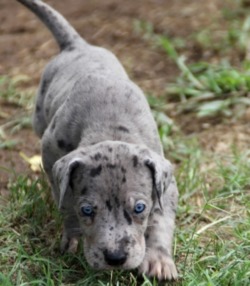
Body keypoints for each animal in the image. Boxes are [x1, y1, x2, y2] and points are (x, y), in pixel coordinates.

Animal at [16, 0, 178, 282]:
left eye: (139, 208)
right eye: (87, 210)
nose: (115, 258)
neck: (111, 128)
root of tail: (77, 45)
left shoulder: (165, 183)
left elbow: (161, 218)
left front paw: (158, 260)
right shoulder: (52, 155)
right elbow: (66, 203)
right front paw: (72, 238)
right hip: (38, 116)